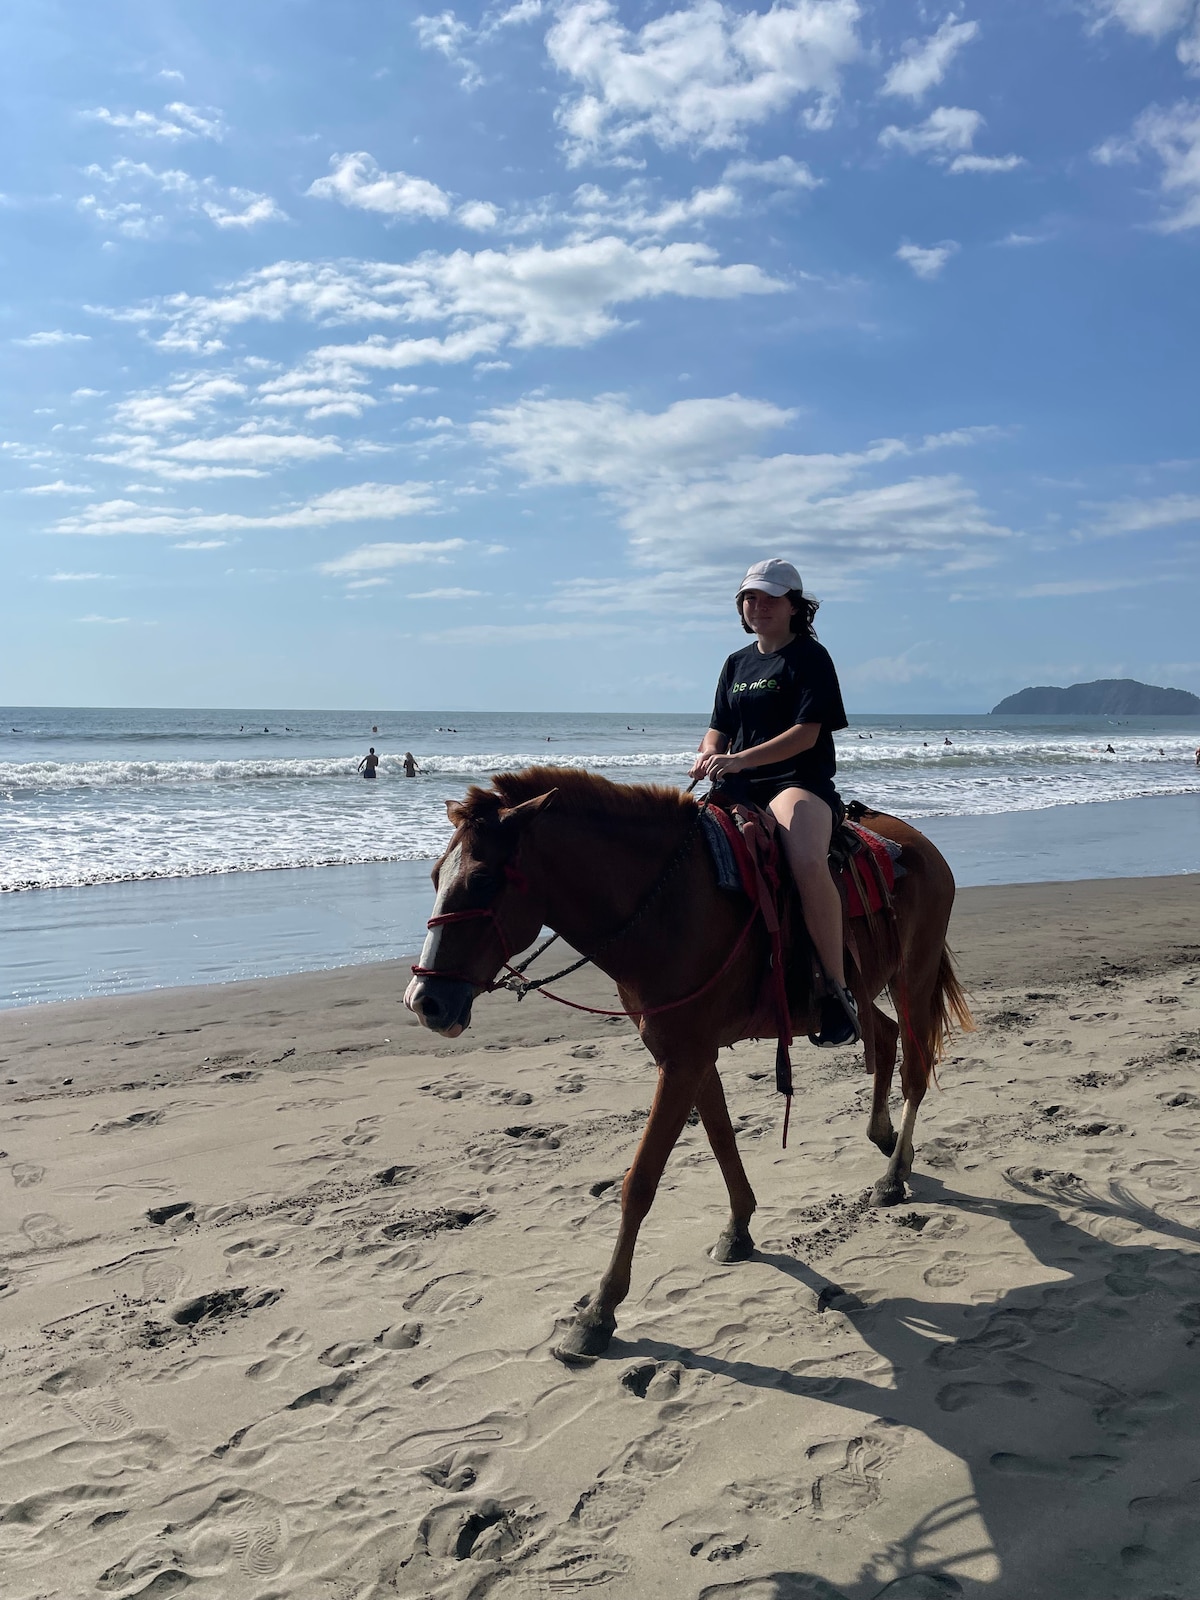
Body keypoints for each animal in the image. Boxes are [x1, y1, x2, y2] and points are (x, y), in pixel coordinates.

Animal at [404, 766, 974, 1361]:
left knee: (914, 1069)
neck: (666, 908)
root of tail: (920, 844)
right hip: (862, 989)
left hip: (913, 974)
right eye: (436, 876)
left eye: (483, 882)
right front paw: (738, 1229)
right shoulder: (686, 1055)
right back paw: (885, 1140)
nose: (425, 1002)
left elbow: (641, 1181)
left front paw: (598, 1312)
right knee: (882, 1039)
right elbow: (721, 1138)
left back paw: (893, 1174)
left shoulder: (684, 1059)